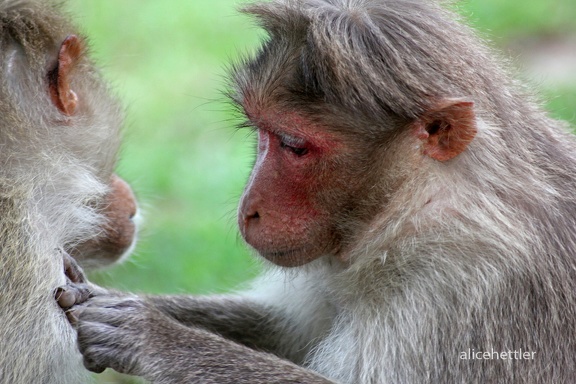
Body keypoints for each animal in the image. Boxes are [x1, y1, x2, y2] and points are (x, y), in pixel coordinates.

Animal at [59, 0, 576, 384]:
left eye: (293, 145)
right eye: (260, 132)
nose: (249, 211)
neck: (404, 208)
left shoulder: (467, 280)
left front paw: (156, 337)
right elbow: (290, 329)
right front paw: (101, 296)